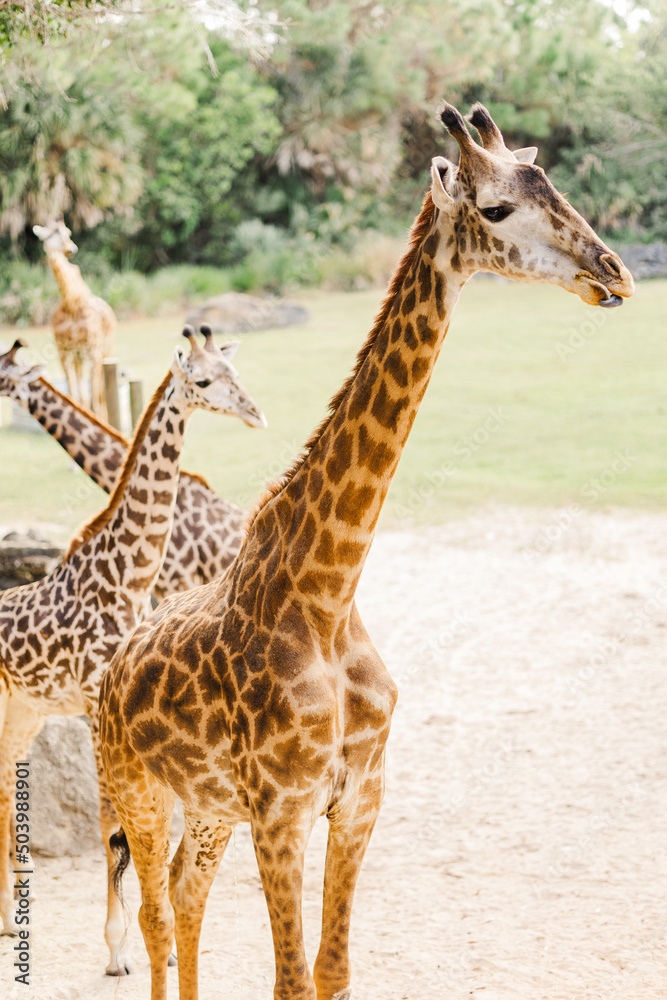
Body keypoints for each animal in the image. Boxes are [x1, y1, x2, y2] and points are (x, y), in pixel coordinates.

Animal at [33, 218, 115, 417]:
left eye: (68, 232)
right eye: (50, 233)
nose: (71, 249)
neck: (72, 304)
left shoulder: (94, 354)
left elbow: (95, 400)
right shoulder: (65, 354)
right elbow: (76, 398)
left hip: (106, 352)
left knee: (101, 395)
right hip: (80, 359)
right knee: (86, 396)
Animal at [98, 103, 634, 1000]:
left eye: (551, 184)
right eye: (496, 208)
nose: (615, 273)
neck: (329, 588)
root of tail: (108, 669)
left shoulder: (358, 799)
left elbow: (333, 970)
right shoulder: (281, 810)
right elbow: (291, 978)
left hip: (206, 806)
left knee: (184, 893)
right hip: (136, 786)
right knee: (153, 913)